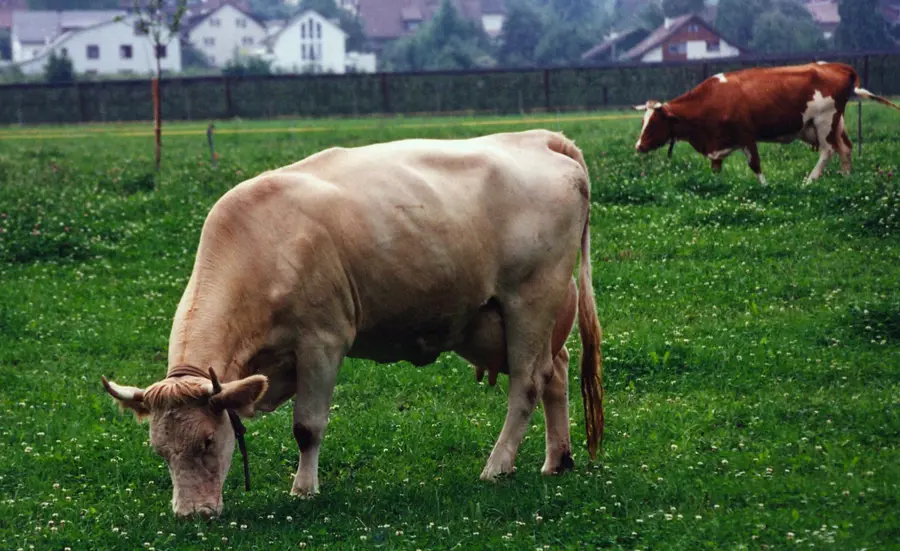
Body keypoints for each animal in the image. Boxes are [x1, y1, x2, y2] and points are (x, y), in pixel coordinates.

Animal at [98, 129, 604, 516]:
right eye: (160, 451)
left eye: (206, 442)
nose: (191, 514)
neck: (261, 245)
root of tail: (540, 138)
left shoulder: (322, 342)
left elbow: (307, 427)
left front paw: (303, 490)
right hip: (518, 318)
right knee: (556, 371)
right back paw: (556, 459)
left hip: (530, 301)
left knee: (527, 385)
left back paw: (497, 466)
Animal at [632, 61, 900, 183]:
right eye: (643, 121)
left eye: (653, 123)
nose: (638, 146)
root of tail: (837, 66)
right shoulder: (717, 143)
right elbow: (716, 167)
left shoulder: (747, 135)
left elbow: (756, 165)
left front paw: (764, 186)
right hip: (833, 124)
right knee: (845, 148)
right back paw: (846, 177)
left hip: (824, 121)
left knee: (828, 151)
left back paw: (809, 181)